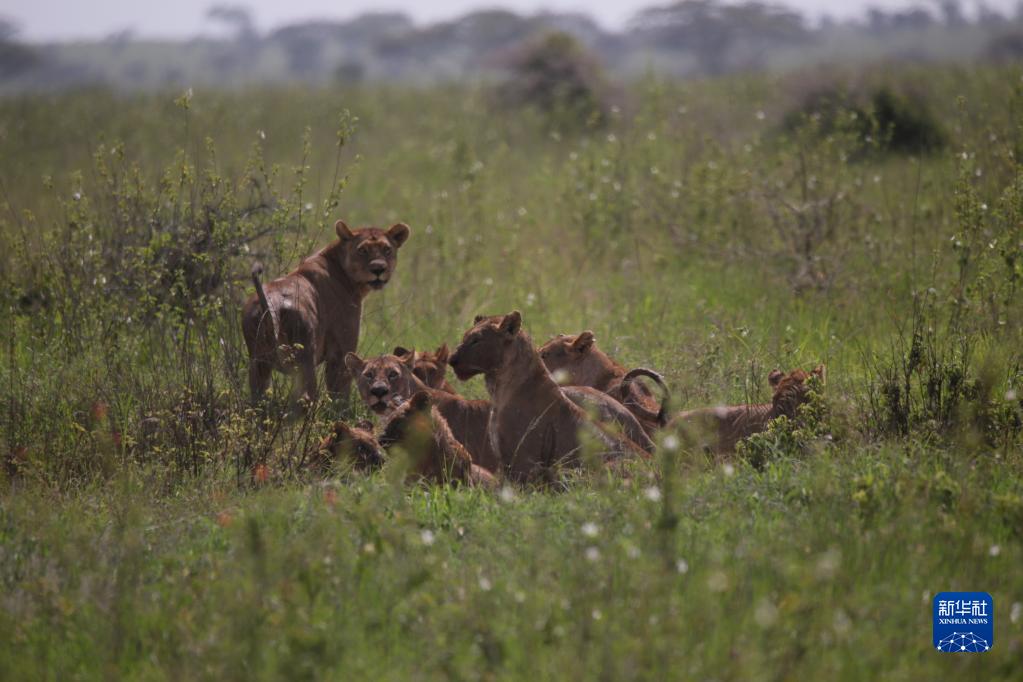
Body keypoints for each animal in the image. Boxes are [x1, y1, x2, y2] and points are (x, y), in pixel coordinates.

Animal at [241, 221, 409, 408]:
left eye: (387, 249)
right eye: (362, 250)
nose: (378, 268)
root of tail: (272, 302)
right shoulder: (342, 349)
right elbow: (340, 392)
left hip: (258, 361)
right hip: (304, 359)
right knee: (305, 397)